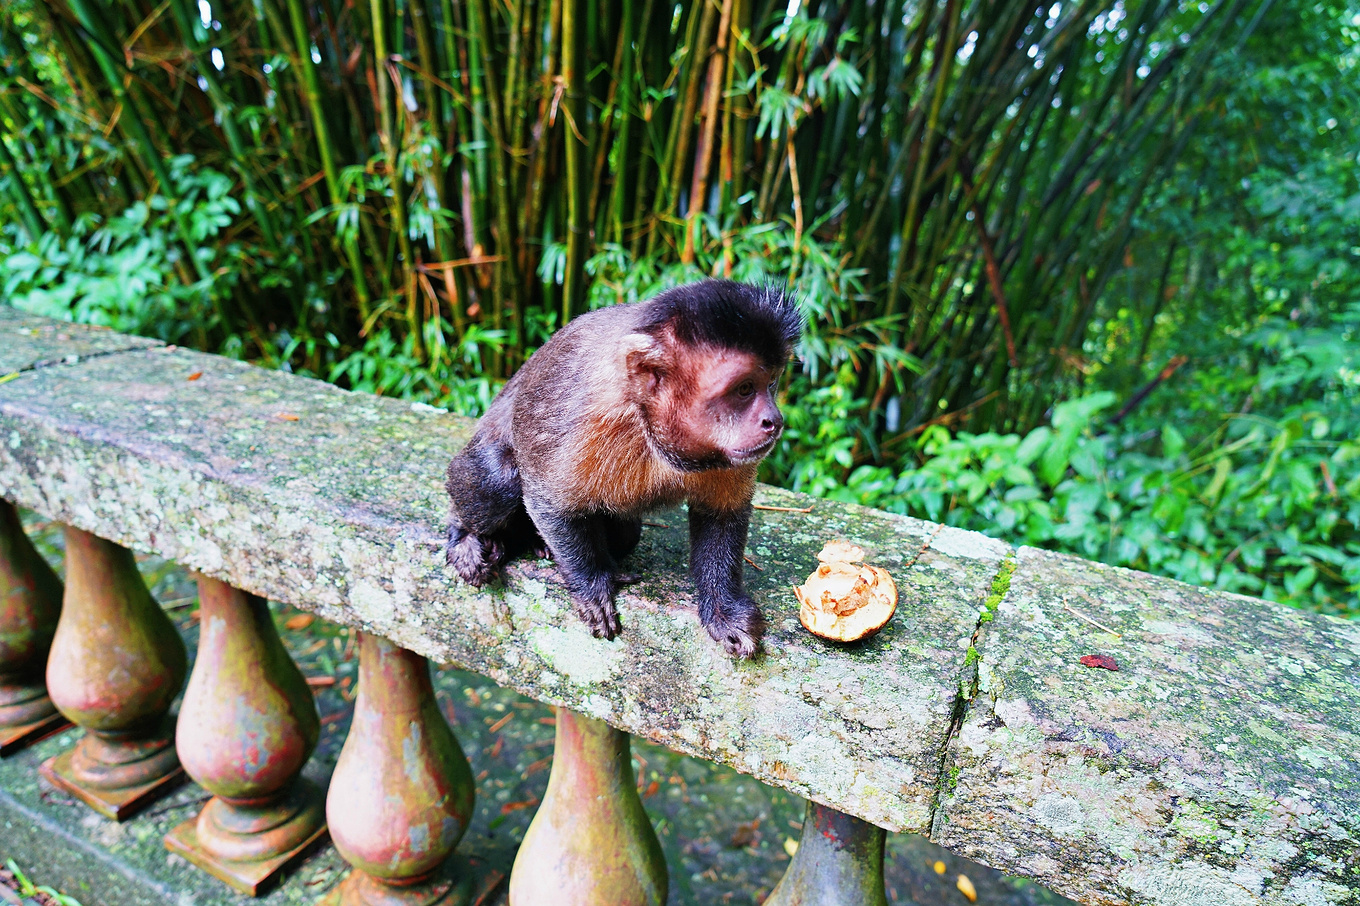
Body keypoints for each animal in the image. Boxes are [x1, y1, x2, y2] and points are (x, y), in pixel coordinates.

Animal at [446, 277, 805, 655]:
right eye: (744, 389)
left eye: (771, 383)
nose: (774, 420)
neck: (645, 417)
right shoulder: (589, 418)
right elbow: (549, 503)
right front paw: (591, 585)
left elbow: (721, 513)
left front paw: (724, 609)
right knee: (498, 482)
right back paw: (465, 534)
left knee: (627, 533)